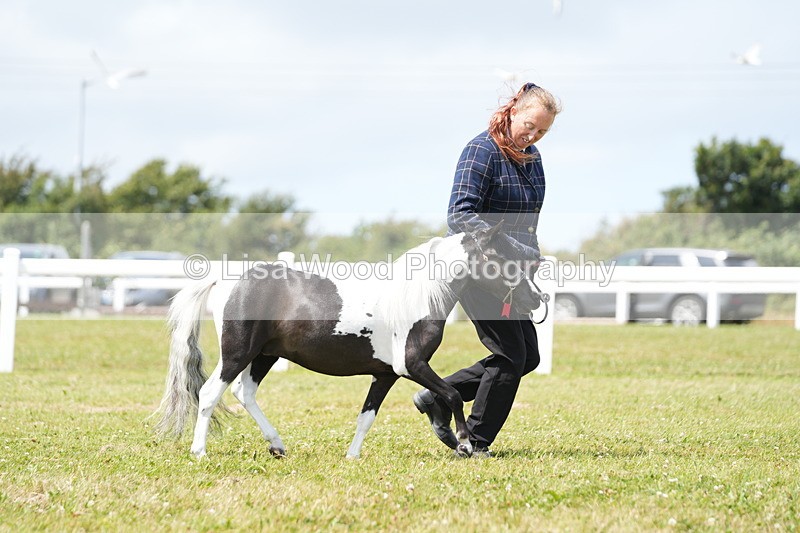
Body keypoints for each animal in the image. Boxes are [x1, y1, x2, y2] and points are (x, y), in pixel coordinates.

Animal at [154, 223, 543, 459]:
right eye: (502, 258)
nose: (536, 299)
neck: (416, 297)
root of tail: (225, 280)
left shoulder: (386, 374)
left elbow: (367, 416)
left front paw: (353, 455)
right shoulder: (412, 365)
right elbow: (451, 394)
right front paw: (460, 442)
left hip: (264, 355)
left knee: (244, 393)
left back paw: (277, 445)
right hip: (237, 353)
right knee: (209, 393)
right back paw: (199, 451)